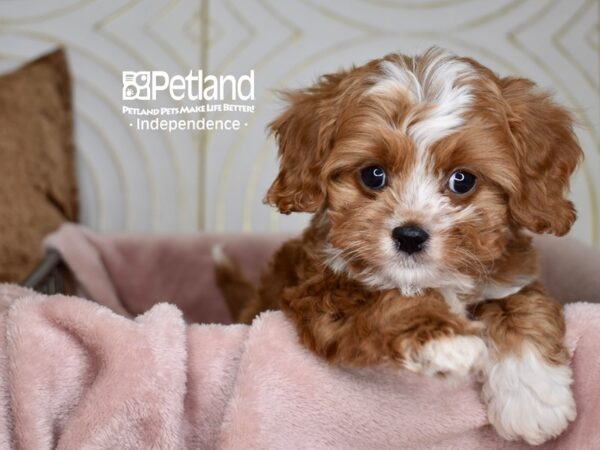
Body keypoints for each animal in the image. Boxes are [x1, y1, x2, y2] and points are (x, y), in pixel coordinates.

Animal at [214, 48, 580, 442]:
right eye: (373, 174)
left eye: (462, 180)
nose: (410, 236)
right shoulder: (320, 292)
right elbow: (384, 301)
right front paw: (447, 340)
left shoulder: (512, 274)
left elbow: (519, 304)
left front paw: (533, 398)